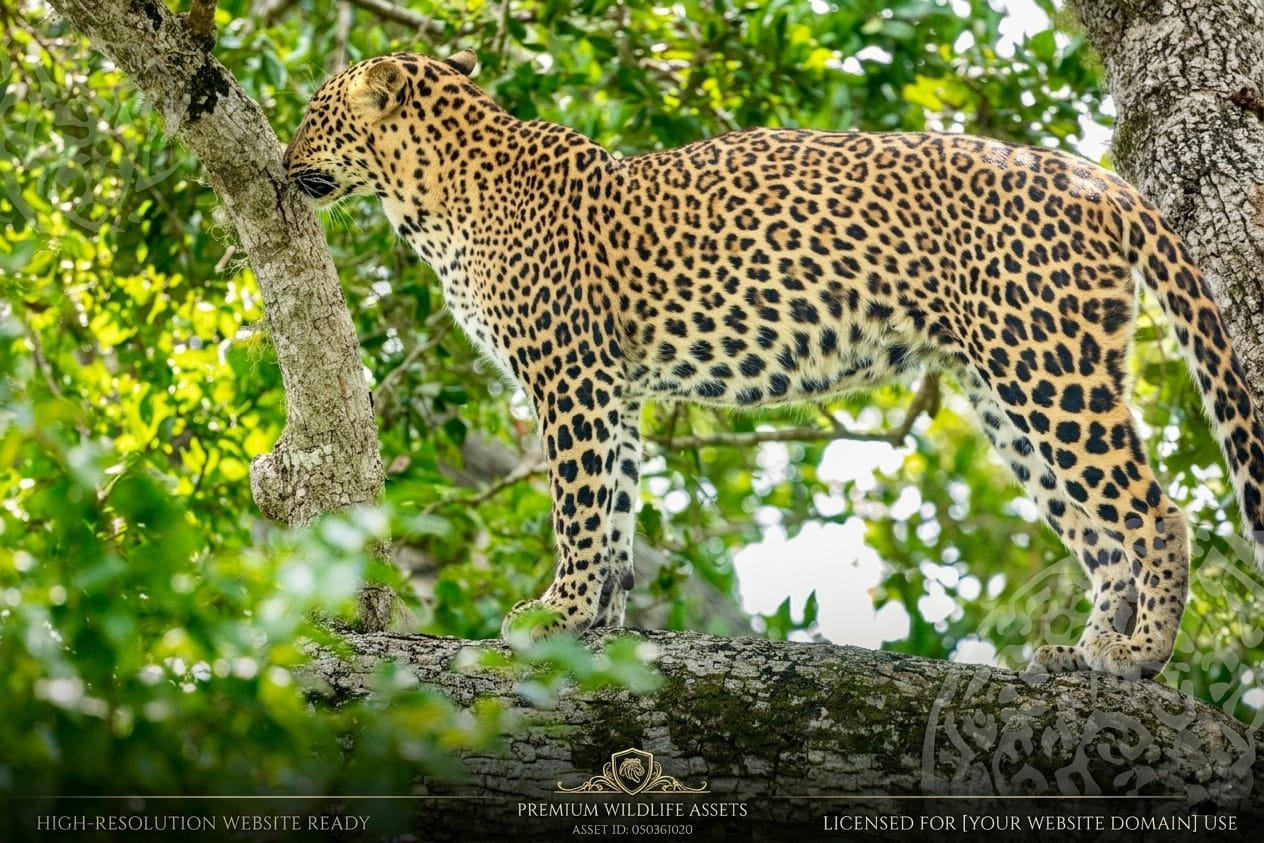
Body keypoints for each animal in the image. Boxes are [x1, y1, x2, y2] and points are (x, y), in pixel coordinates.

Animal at [283, 49, 1264, 681]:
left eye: (312, 116)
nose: (283, 163)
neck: (432, 193)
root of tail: (1097, 177)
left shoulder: (571, 376)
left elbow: (579, 506)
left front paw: (553, 612)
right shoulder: (614, 389)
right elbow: (617, 506)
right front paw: (597, 621)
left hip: (1045, 361)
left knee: (1155, 512)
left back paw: (1140, 657)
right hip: (1007, 388)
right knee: (1100, 529)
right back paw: (1086, 650)